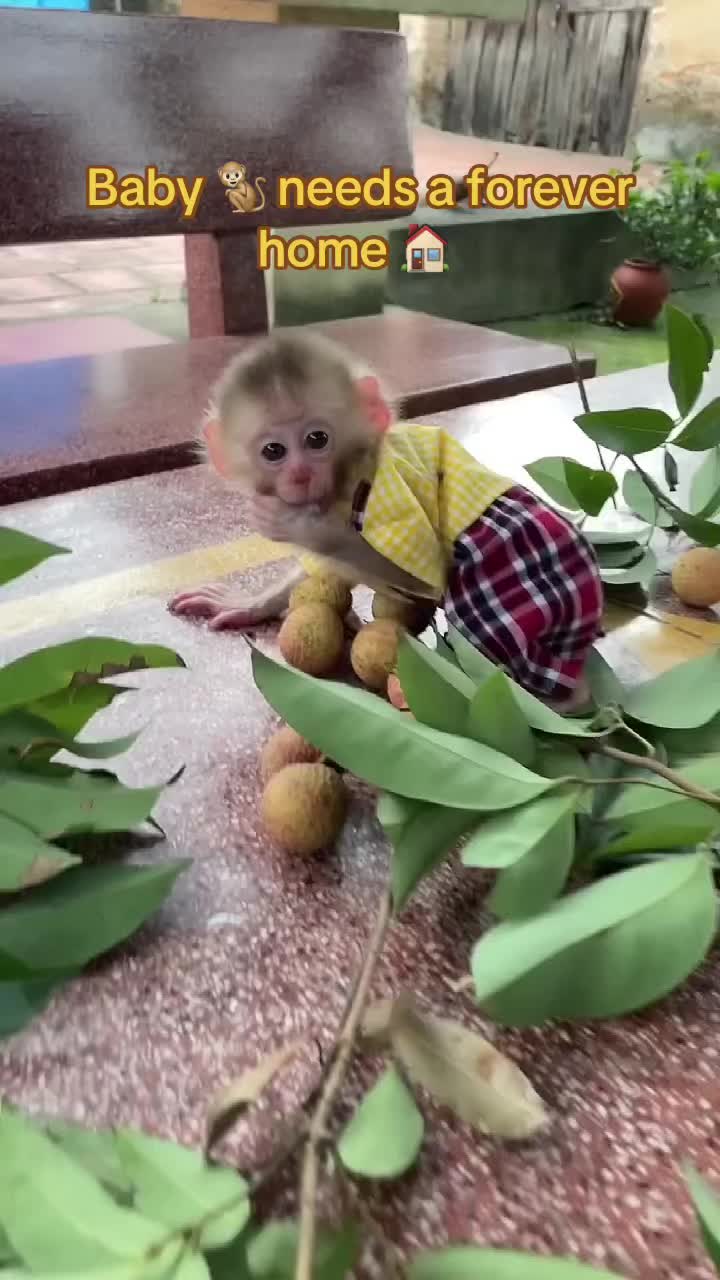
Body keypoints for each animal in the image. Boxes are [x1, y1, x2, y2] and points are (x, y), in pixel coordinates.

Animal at [168, 332, 604, 711]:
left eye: (317, 439)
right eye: (273, 451)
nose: (300, 475)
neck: (350, 472)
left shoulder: (385, 491)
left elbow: (423, 578)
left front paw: (305, 528)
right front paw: (251, 604)